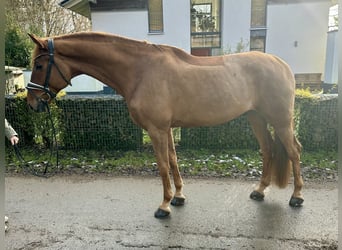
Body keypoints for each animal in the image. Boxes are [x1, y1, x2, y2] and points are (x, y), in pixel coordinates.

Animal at [27, 32, 304, 218]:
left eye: (39, 65)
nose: (31, 102)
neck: (140, 71)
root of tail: (282, 65)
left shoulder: (156, 129)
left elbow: (162, 166)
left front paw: (164, 205)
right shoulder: (167, 128)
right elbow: (172, 160)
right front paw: (179, 197)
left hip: (280, 120)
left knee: (293, 152)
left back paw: (297, 196)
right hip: (256, 117)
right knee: (268, 150)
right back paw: (260, 190)